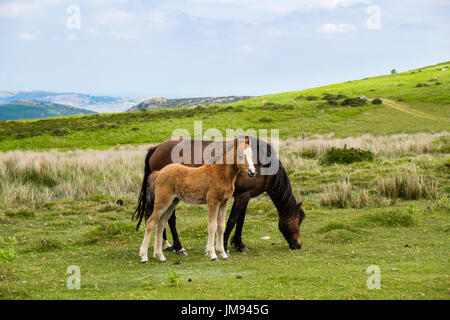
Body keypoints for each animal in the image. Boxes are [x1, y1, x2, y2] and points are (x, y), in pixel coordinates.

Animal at [132, 135, 304, 255]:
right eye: (299, 220)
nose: (298, 245)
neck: (262, 161)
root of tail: (156, 148)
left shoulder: (244, 196)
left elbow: (240, 221)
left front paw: (239, 244)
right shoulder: (242, 196)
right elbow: (232, 220)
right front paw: (224, 246)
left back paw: (166, 245)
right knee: (169, 220)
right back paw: (178, 247)